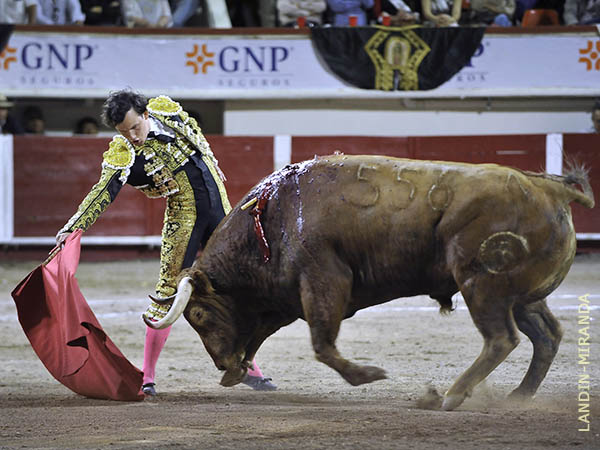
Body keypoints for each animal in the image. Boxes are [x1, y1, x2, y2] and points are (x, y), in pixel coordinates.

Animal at [143, 156, 592, 412]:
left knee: (501, 339)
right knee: (547, 335)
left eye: (200, 315)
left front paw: (369, 375)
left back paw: (449, 396)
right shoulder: (284, 299)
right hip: (521, 296)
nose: (220, 362)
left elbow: (322, 345)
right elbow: (258, 335)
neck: (270, 220)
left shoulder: (323, 282)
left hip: (483, 285)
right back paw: (519, 395)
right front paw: (235, 374)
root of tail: (548, 187)